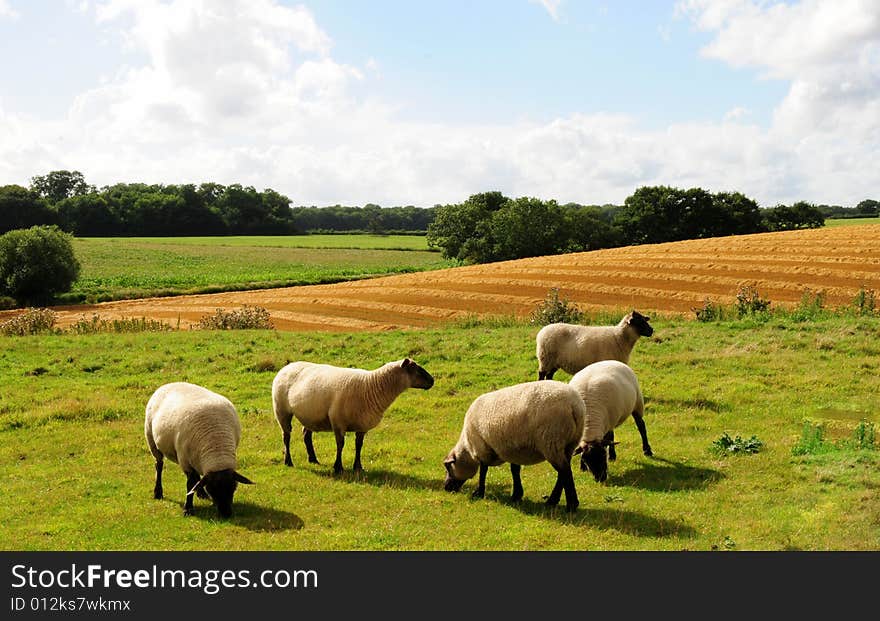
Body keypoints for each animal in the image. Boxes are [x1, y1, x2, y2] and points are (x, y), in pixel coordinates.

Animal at [144, 382, 254, 520]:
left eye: (234, 488)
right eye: (212, 489)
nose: (226, 514)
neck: (216, 446)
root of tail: (169, 383)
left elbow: (195, 481)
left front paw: (199, 494)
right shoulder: (184, 460)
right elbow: (189, 484)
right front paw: (188, 509)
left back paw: (201, 493)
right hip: (151, 440)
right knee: (159, 466)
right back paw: (158, 493)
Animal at [268, 356, 434, 472]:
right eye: (415, 369)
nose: (432, 381)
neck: (372, 386)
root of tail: (287, 366)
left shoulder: (362, 425)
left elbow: (359, 445)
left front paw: (358, 466)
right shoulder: (338, 422)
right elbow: (340, 445)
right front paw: (338, 467)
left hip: (310, 414)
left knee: (306, 435)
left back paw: (313, 459)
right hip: (281, 410)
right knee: (286, 436)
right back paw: (288, 461)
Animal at [446, 380, 584, 512]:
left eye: (448, 467)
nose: (446, 488)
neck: (468, 447)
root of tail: (574, 406)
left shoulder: (482, 449)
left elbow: (483, 471)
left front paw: (479, 493)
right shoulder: (513, 449)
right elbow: (515, 470)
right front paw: (516, 495)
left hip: (551, 441)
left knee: (565, 471)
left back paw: (571, 505)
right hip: (569, 444)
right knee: (563, 472)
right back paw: (553, 501)